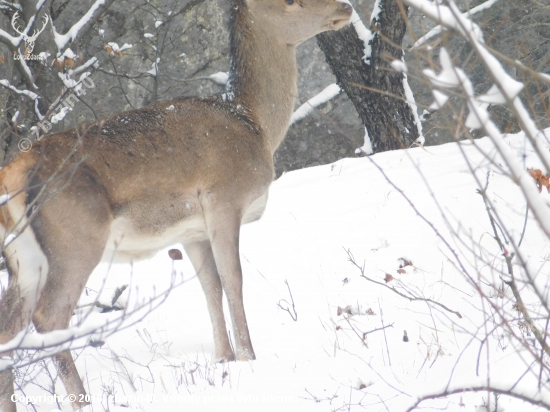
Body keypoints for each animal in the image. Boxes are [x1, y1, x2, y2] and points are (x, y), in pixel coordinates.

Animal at [0, 0, 354, 408]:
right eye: (289, 2)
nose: (346, 8)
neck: (258, 126)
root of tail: (12, 173)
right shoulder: (224, 199)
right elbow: (233, 279)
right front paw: (249, 357)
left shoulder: (192, 231)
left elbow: (210, 286)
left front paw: (224, 359)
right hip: (76, 239)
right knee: (49, 316)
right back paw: (82, 399)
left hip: (23, 256)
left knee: (8, 327)